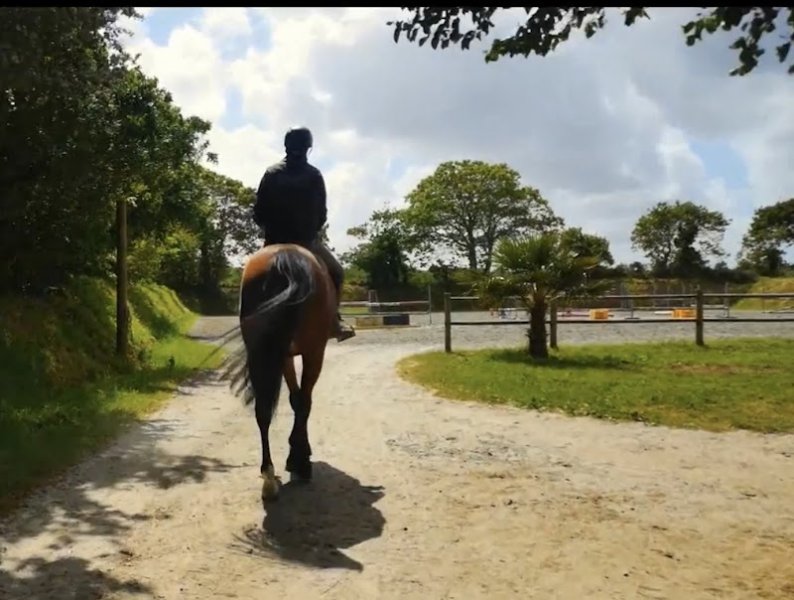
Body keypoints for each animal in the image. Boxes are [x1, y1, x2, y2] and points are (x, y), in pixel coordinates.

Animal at [220, 242, 336, 502]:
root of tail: (282, 258)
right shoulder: (309, 353)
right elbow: (302, 401)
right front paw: (300, 456)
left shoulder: (283, 355)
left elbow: (294, 399)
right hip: (313, 351)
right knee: (303, 402)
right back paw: (292, 467)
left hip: (267, 350)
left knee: (262, 412)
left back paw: (268, 478)